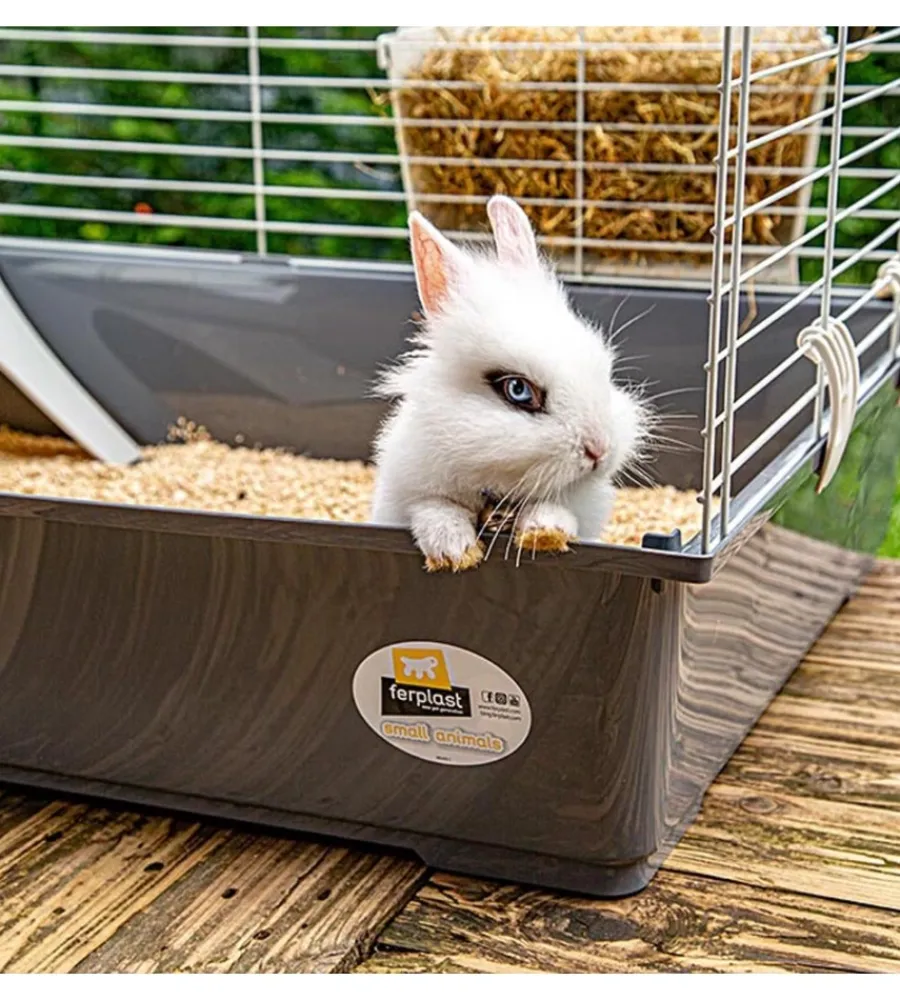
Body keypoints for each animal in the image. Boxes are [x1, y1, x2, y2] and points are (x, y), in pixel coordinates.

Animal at [369, 194, 648, 572]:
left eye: (603, 368)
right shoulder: (406, 489)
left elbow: (556, 507)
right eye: (518, 390)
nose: (599, 450)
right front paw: (453, 551)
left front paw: (546, 533)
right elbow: (434, 507)